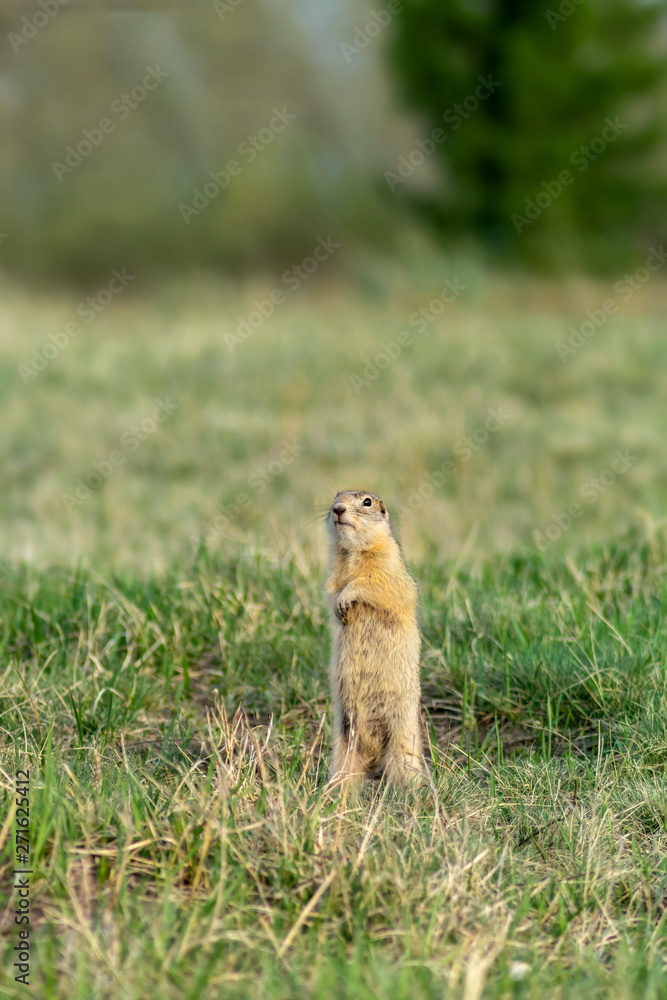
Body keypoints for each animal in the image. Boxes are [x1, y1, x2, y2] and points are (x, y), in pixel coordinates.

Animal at [326, 488, 426, 784]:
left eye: (367, 502)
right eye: (335, 495)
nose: (337, 508)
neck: (352, 552)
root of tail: (373, 758)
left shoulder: (387, 564)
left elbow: (374, 584)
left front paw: (346, 598)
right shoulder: (332, 572)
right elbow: (331, 589)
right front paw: (338, 609)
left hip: (403, 745)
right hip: (344, 750)